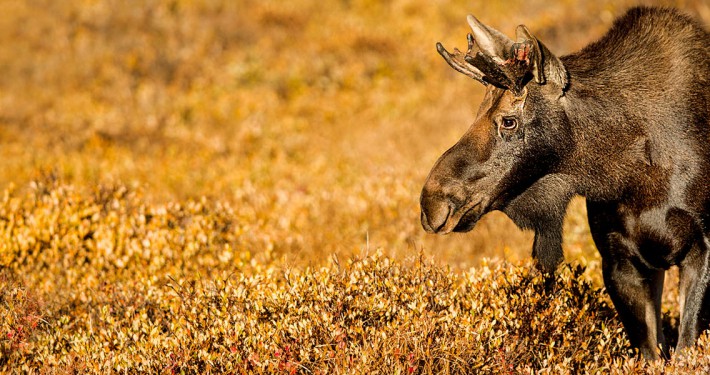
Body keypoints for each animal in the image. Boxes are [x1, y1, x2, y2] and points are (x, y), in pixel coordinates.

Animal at [422, 5, 710, 358]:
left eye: (508, 121)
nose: (431, 202)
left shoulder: (702, 248)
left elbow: (685, 349)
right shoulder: (617, 261)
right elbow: (651, 354)